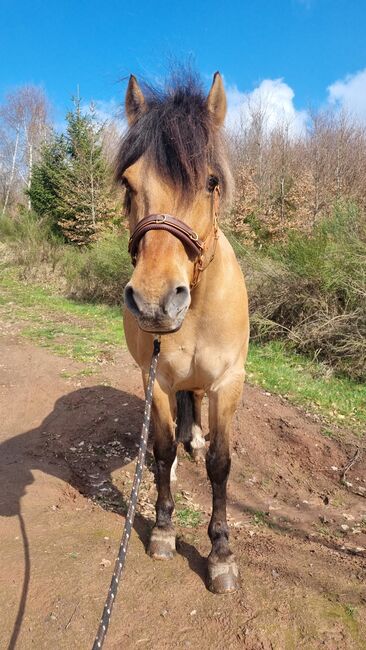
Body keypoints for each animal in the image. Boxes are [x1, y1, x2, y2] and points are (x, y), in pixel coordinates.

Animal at [116, 71, 250, 592]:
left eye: (210, 182)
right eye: (129, 183)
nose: (155, 301)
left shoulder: (228, 383)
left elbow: (220, 464)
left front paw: (221, 552)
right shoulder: (156, 380)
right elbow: (160, 448)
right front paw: (164, 529)